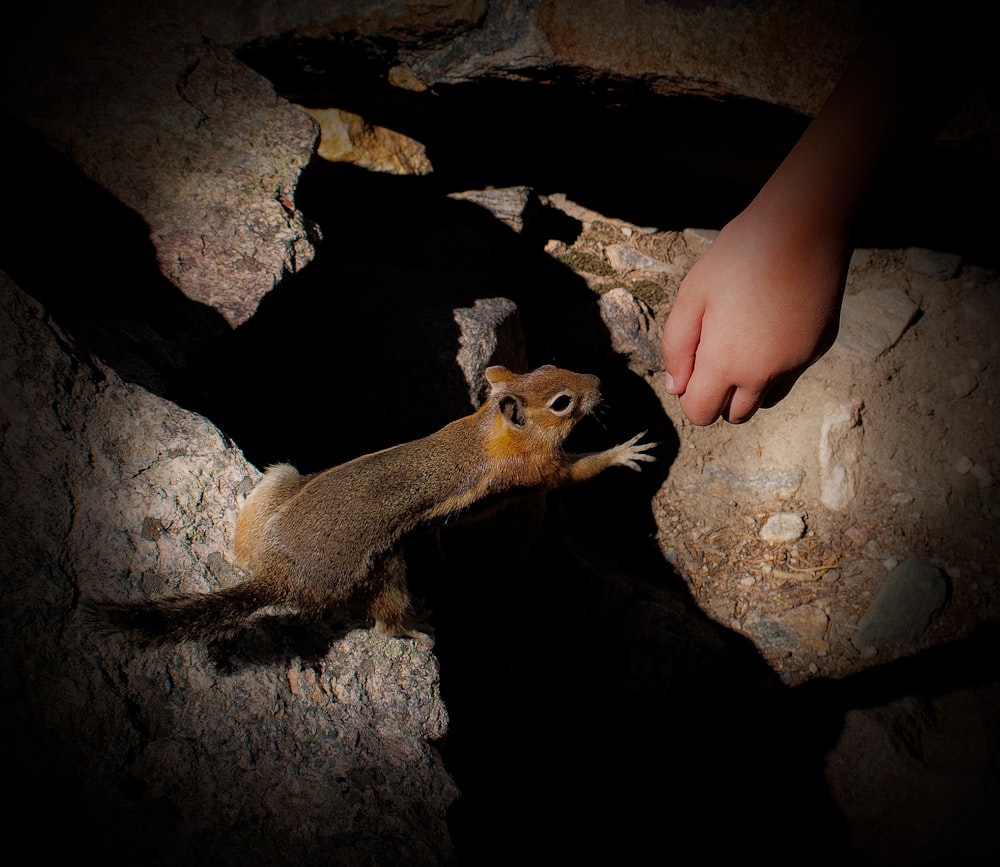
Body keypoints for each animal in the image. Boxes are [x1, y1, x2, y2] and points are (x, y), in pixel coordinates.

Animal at [90, 364, 656, 644]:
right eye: (562, 402)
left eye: (551, 363)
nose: (598, 382)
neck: (488, 430)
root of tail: (280, 573)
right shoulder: (538, 470)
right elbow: (575, 471)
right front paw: (622, 452)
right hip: (385, 570)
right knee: (384, 621)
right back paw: (413, 625)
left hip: (281, 480)